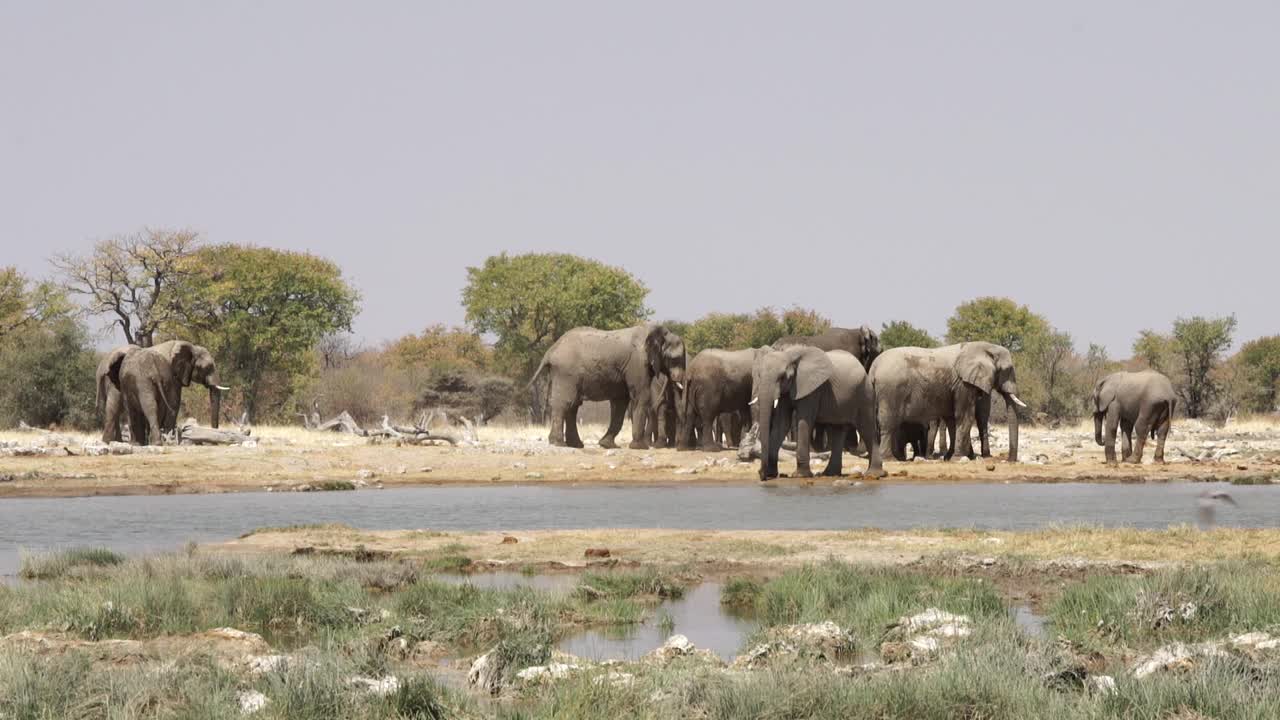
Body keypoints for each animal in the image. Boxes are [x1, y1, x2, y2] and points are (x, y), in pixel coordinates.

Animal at [529, 320, 691, 445]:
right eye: (675, 359)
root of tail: (551, 350)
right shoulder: (638, 364)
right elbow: (641, 396)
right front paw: (639, 447)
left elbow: (620, 403)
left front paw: (606, 445)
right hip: (566, 373)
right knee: (565, 403)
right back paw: (558, 443)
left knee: (573, 406)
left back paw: (575, 445)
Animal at [747, 345, 885, 479]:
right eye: (759, 375)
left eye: (782, 377)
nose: (761, 475)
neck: (789, 355)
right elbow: (782, 423)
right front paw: (772, 474)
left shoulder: (812, 389)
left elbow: (803, 421)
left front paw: (800, 475)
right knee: (838, 430)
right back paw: (830, 474)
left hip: (865, 394)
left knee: (867, 429)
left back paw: (874, 474)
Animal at [865, 340, 1024, 458]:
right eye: (1008, 370)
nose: (1010, 460)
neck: (983, 347)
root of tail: (873, 368)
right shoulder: (963, 384)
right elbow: (965, 416)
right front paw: (958, 458)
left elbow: (952, 419)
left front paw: (950, 457)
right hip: (890, 390)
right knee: (888, 422)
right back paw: (890, 458)